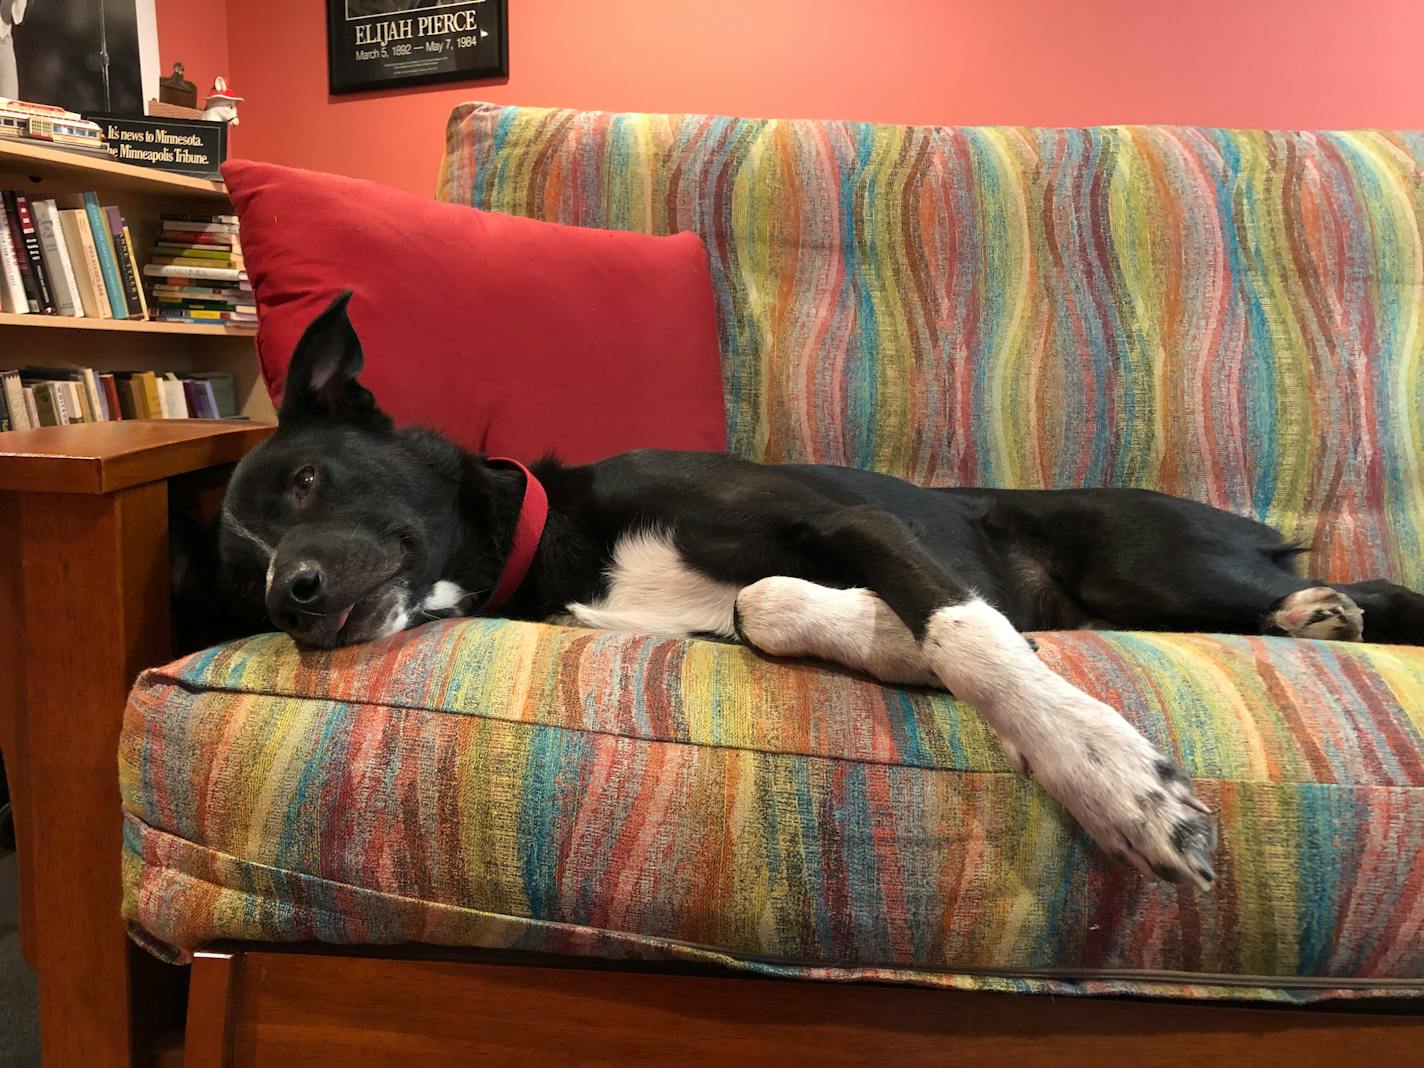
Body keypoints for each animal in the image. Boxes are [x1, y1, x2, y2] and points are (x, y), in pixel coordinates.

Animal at [216, 293, 1424, 894]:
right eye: (239, 568)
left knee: (1361, 582)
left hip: (1157, 562)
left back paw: (1321, 607)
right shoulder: (727, 606)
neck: (555, 542)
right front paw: (891, 642)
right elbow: (774, 608)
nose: (290, 598)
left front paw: (1113, 779)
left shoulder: (847, 521)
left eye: (306, 480)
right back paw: (1313, 615)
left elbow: (965, 632)